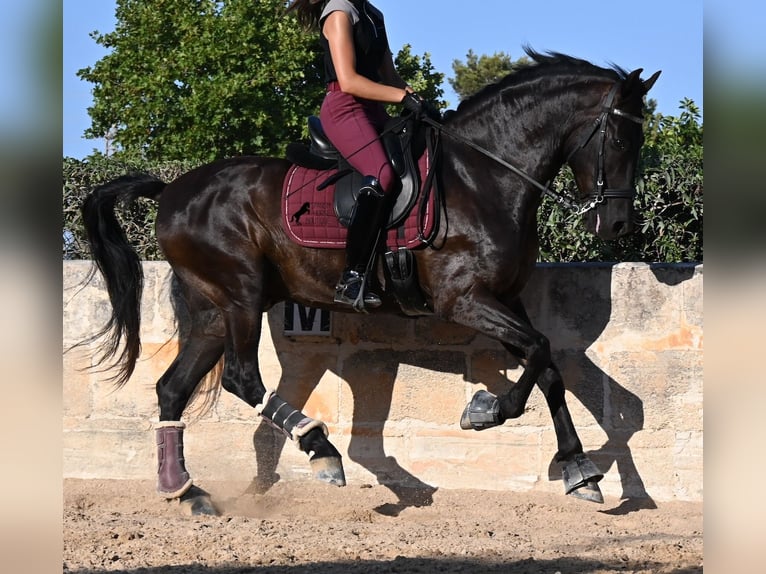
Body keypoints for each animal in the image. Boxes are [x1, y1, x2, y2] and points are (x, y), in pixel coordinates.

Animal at [80, 50, 660, 515]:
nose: (618, 226)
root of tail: (171, 191)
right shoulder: (463, 299)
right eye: (620, 136)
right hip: (240, 296)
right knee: (242, 379)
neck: (484, 178)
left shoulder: (506, 299)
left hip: (210, 313)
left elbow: (549, 365)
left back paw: (186, 491)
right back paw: (320, 451)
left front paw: (578, 469)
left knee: (172, 389)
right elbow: (538, 354)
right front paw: (485, 411)